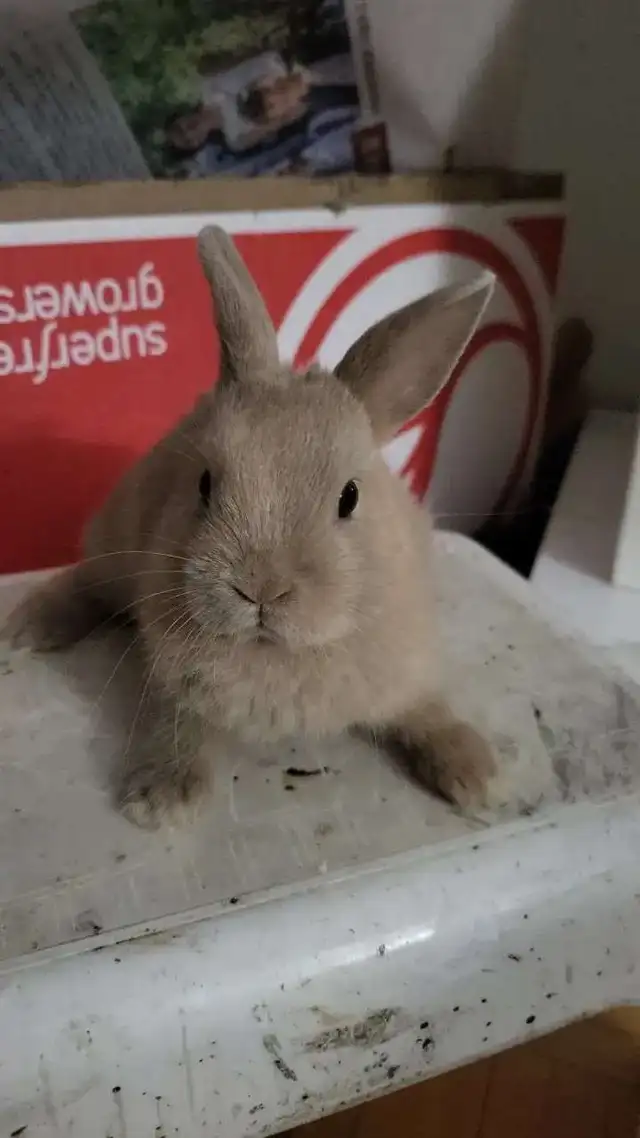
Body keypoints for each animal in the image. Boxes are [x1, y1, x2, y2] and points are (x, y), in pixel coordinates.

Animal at [6, 225, 497, 829]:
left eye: (349, 497)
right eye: (205, 483)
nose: (260, 588)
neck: (279, 653)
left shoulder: (404, 673)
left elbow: (425, 710)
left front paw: (477, 776)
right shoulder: (180, 689)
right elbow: (180, 729)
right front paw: (159, 800)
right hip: (116, 547)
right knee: (85, 582)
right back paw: (27, 630)